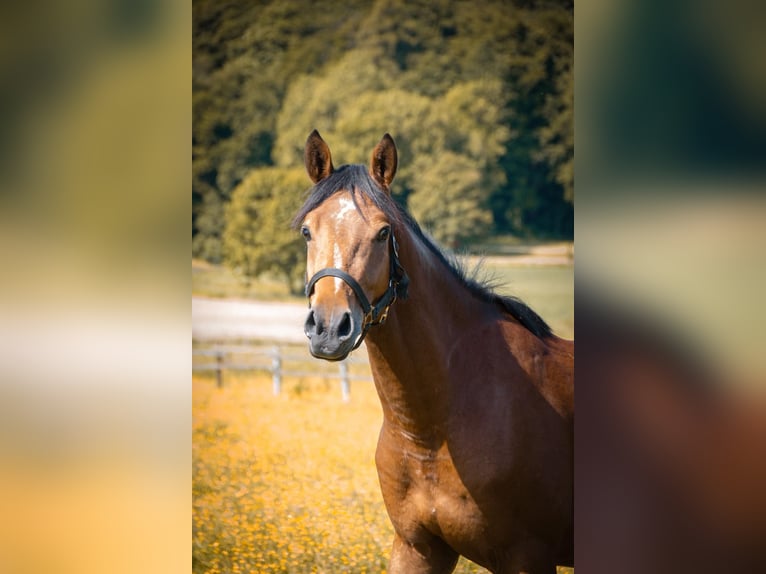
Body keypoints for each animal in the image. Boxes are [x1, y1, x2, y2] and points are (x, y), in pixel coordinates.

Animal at [293, 130, 574, 573]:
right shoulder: (416, 548)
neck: (429, 433)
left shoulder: (528, 557)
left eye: (383, 233)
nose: (328, 329)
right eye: (307, 231)